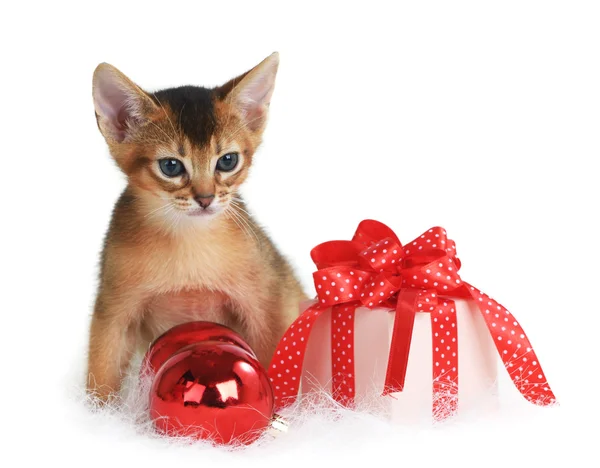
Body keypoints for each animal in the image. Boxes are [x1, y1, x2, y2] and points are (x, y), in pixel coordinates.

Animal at [88, 53, 310, 400]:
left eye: (228, 160)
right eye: (170, 166)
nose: (205, 199)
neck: (188, 241)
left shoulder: (268, 299)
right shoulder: (113, 309)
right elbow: (101, 369)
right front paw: (94, 412)